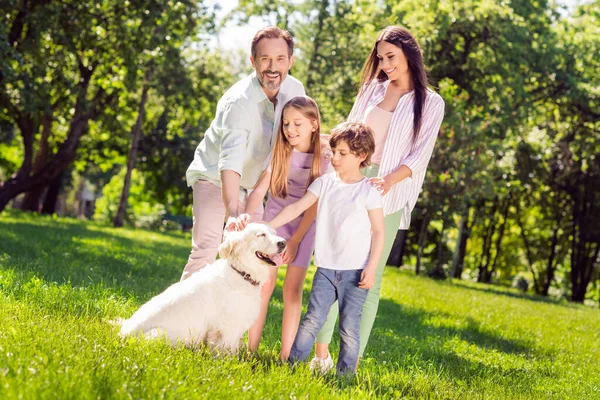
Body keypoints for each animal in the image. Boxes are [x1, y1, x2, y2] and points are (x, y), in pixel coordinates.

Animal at [119, 225, 286, 354]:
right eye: (261, 235)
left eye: (274, 233)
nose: (284, 242)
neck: (243, 273)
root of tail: (124, 332)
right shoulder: (226, 328)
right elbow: (225, 352)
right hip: (164, 334)